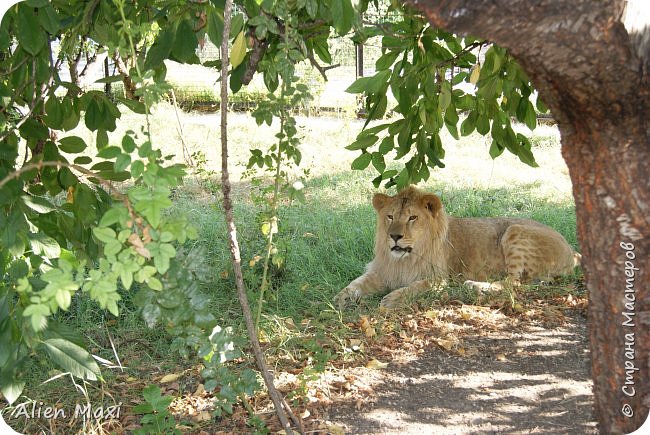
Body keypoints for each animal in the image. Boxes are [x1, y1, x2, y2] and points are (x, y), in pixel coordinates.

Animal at [332, 186, 580, 308]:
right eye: (390, 216)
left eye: (412, 217)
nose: (394, 236)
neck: (405, 258)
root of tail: (573, 251)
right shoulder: (381, 271)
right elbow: (355, 284)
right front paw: (339, 299)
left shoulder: (439, 279)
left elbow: (414, 287)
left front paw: (391, 299)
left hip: (515, 231)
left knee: (513, 284)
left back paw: (474, 285)